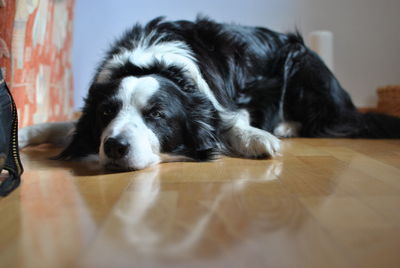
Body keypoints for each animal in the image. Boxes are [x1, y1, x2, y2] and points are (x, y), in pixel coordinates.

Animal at [18, 17, 400, 172]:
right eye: (105, 114)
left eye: (157, 115)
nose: (114, 146)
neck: (148, 60)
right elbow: (65, 125)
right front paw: (22, 133)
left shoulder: (228, 101)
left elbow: (231, 121)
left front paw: (256, 138)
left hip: (301, 62)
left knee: (324, 121)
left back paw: (284, 127)